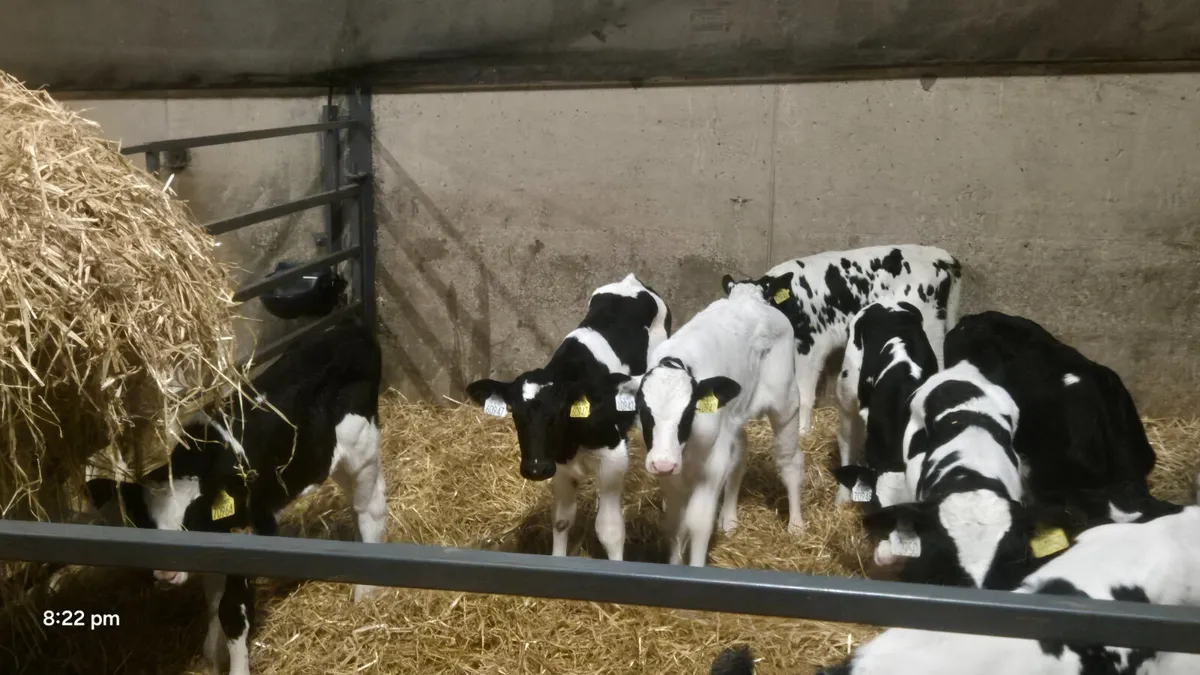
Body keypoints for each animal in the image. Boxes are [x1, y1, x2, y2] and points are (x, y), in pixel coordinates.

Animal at [85, 320, 384, 675]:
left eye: (191, 517)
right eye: (144, 521)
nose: (166, 572)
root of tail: (349, 327)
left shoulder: (244, 539)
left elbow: (231, 612)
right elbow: (213, 601)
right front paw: (211, 652)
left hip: (361, 447)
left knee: (369, 508)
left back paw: (365, 590)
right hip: (326, 457)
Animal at [465, 273, 671, 561]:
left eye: (559, 411)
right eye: (514, 412)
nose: (536, 468)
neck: (572, 441)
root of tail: (631, 282)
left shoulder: (613, 455)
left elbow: (609, 528)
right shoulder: (559, 464)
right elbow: (562, 520)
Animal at [616, 280, 802, 566]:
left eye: (688, 414)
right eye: (645, 413)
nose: (663, 463)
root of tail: (751, 299)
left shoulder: (712, 465)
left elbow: (698, 522)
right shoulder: (668, 469)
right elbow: (676, 523)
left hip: (786, 402)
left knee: (789, 461)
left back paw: (796, 525)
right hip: (734, 416)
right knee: (740, 451)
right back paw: (729, 519)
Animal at [721, 245, 962, 439]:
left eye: (761, 303)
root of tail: (940, 255)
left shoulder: (811, 346)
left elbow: (804, 392)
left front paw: (802, 431)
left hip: (931, 327)